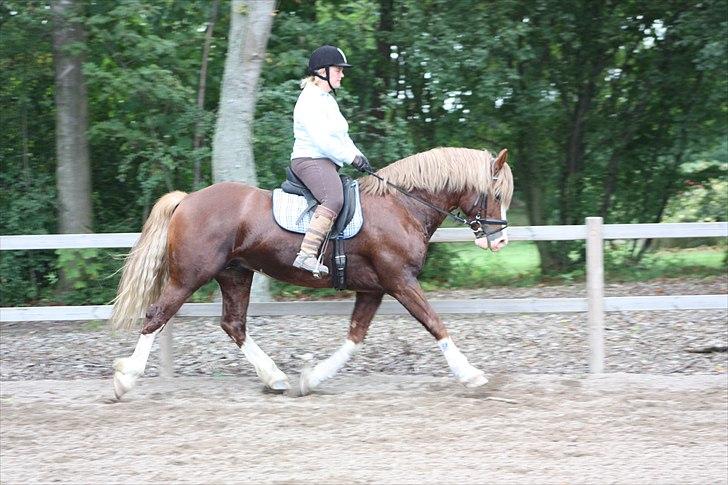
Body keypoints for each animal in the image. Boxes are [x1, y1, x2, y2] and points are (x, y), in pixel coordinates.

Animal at [111, 147, 516, 398]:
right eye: (496, 194)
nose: (500, 241)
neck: (402, 205)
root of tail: (187, 199)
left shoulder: (374, 288)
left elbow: (355, 337)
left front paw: (311, 378)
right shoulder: (400, 281)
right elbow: (435, 323)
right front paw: (471, 374)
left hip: (235, 274)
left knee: (233, 324)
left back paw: (275, 377)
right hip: (189, 276)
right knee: (156, 315)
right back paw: (125, 380)